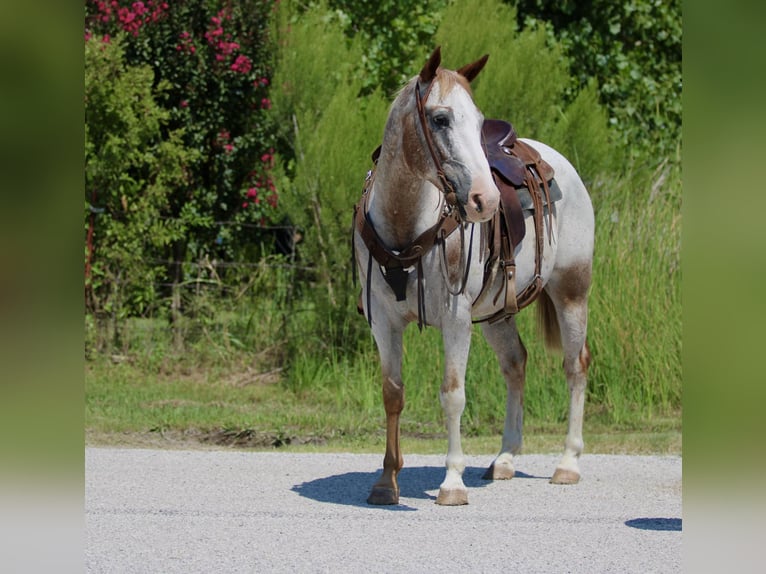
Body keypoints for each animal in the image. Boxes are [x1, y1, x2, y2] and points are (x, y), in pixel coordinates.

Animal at [353, 47, 594, 505]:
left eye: (479, 121)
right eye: (440, 119)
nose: (487, 200)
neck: (404, 224)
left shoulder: (456, 318)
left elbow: (452, 394)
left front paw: (451, 483)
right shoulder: (383, 320)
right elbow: (392, 393)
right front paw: (386, 481)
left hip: (572, 291)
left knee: (575, 365)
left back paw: (569, 463)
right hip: (498, 313)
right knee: (516, 364)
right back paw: (505, 458)